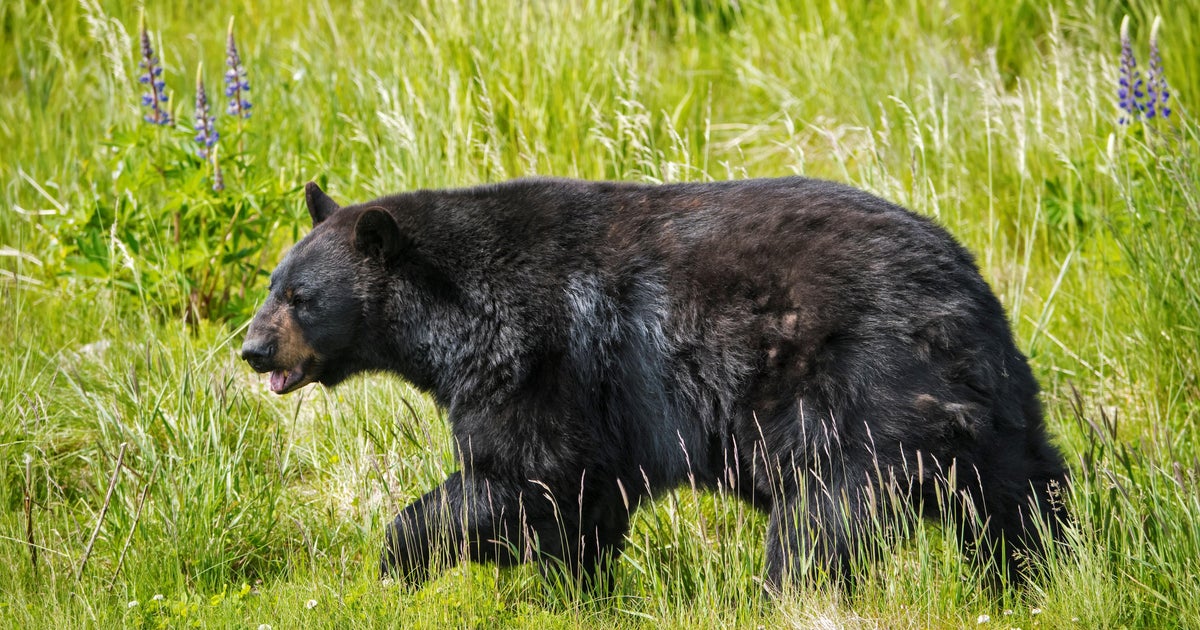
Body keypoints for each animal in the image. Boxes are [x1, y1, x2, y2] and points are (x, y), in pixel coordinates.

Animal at [241, 176, 1069, 592]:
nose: (250, 347)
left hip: (858, 390)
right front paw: (581, 594)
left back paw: (787, 595)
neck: (453, 307)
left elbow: (525, 474)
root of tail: (956, 287)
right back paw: (1038, 576)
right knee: (1019, 491)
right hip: (987, 395)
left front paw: (392, 569)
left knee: (823, 518)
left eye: (301, 298)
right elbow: (583, 509)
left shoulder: (539, 358)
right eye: (272, 283)